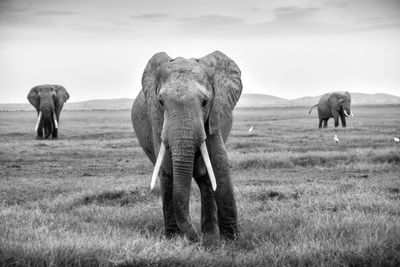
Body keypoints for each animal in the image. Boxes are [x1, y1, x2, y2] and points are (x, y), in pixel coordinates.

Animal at [133, 50, 242, 247]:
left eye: (205, 102)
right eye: (161, 102)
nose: (195, 240)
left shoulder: (215, 114)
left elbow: (219, 161)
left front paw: (231, 242)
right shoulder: (157, 120)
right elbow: (167, 167)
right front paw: (175, 240)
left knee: (206, 179)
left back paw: (210, 238)